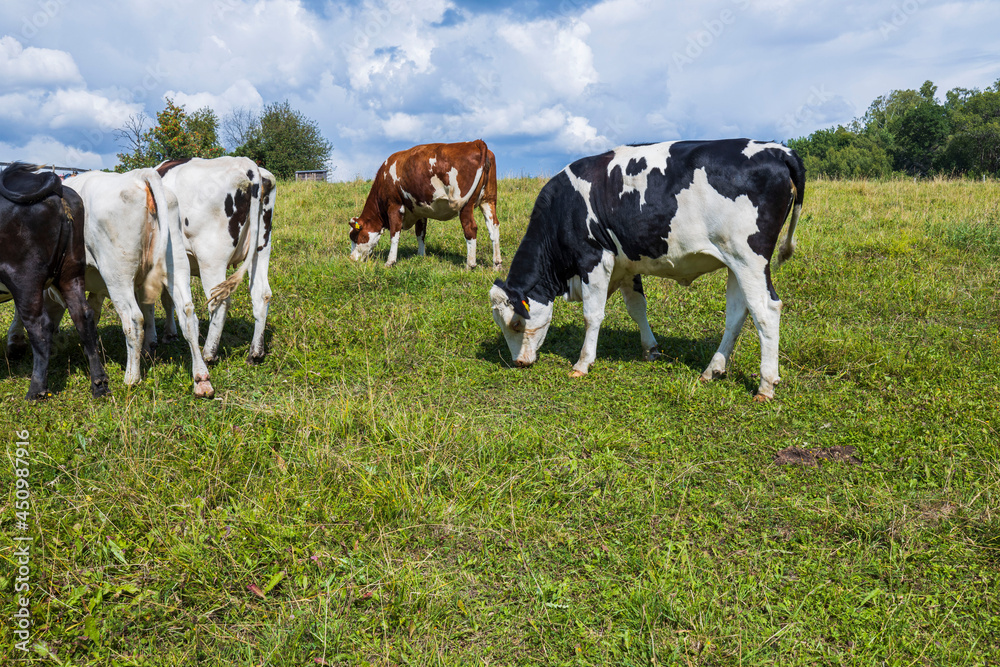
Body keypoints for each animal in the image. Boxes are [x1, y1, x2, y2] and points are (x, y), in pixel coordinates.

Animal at [0, 164, 108, 400]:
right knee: (83, 315)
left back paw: (36, 390)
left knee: (39, 325)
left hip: (24, 277)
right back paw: (99, 383)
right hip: (71, 270)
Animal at [159, 157, 278, 366]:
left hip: (211, 259)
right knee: (262, 294)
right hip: (262, 247)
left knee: (220, 302)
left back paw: (209, 353)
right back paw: (255, 353)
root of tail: (245, 164)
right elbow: (168, 299)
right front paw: (169, 334)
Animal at [350, 140, 504, 270]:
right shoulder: (420, 210)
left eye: (356, 237)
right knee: (494, 227)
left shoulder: (394, 205)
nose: (351, 259)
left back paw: (470, 265)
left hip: (465, 204)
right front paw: (421, 255)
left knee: (470, 228)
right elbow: (420, 233)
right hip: (489, 200)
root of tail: (475, 142)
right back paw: (496, 264)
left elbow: (394, 234)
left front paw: (390, 262)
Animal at [488, 140, 808, 402]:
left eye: (515, 324)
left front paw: (582, 363)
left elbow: (593, 315)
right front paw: (650, 349)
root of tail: (778, 150)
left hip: (750, 258)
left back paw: (765, 385)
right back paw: (712, 369)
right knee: (737, 313)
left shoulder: (594, 259)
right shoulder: (626, 264)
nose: (518, 362)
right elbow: (637, 308)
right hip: (735, 263)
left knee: (766, 310)